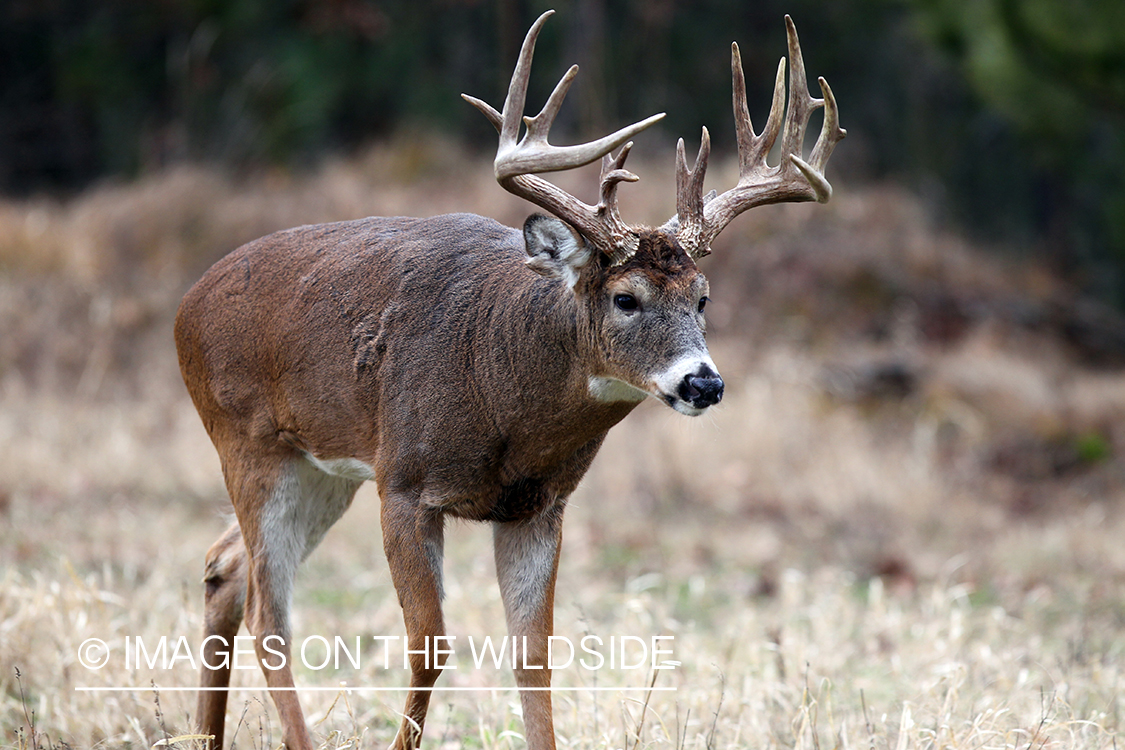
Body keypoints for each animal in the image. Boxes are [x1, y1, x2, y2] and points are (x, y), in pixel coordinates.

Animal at [175, 11, 846, 750]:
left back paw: (203, 735)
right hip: (248, 442)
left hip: (321, 468)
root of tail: (186, 306)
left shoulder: (538, 505)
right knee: (268, 611)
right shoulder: (403, 480)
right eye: (626, 298)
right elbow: (429, 644)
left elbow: (534, 656)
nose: (703, 384)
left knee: (224, 568)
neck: (504, 403)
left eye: (702, 299)